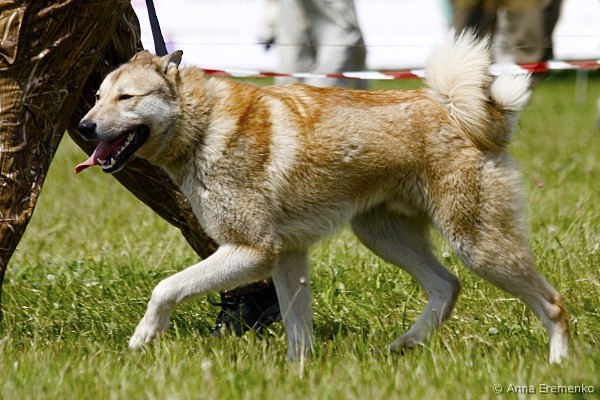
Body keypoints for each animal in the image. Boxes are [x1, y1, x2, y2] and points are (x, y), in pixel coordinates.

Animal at [76, 31, 569, 363]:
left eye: (126, 97)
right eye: (97, 96)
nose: (83, 126)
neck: (203, 127)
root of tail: (464, 115)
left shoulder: (255, 251)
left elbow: (166, 288)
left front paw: (143, 337)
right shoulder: (287, 254)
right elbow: (298, 330)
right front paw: (299, 374)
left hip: (477, 245)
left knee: (552, 304)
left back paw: (558, 363)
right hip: (382, 235)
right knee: (447, 286)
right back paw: (408, 342)